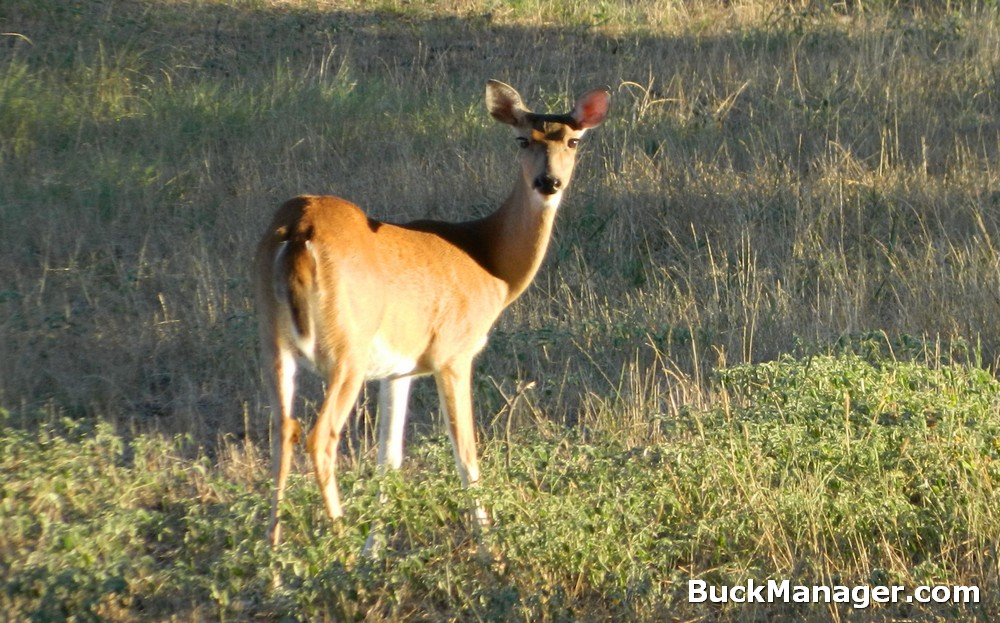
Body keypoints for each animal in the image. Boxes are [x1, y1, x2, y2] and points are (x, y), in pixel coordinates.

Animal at [254, 78, 608, 552]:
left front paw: (374, 552)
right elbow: (467, 455)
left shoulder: (398, 370)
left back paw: (274, 557)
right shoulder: (453, 354)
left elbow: (389, 459)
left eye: (573, 141)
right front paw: (490, 552)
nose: (548, 181)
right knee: (319, 435)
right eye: (521, 139)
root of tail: (298, 232)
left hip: (275, 342)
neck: (490, 263)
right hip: (349, 348)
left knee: (282, 433)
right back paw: (340, 550)